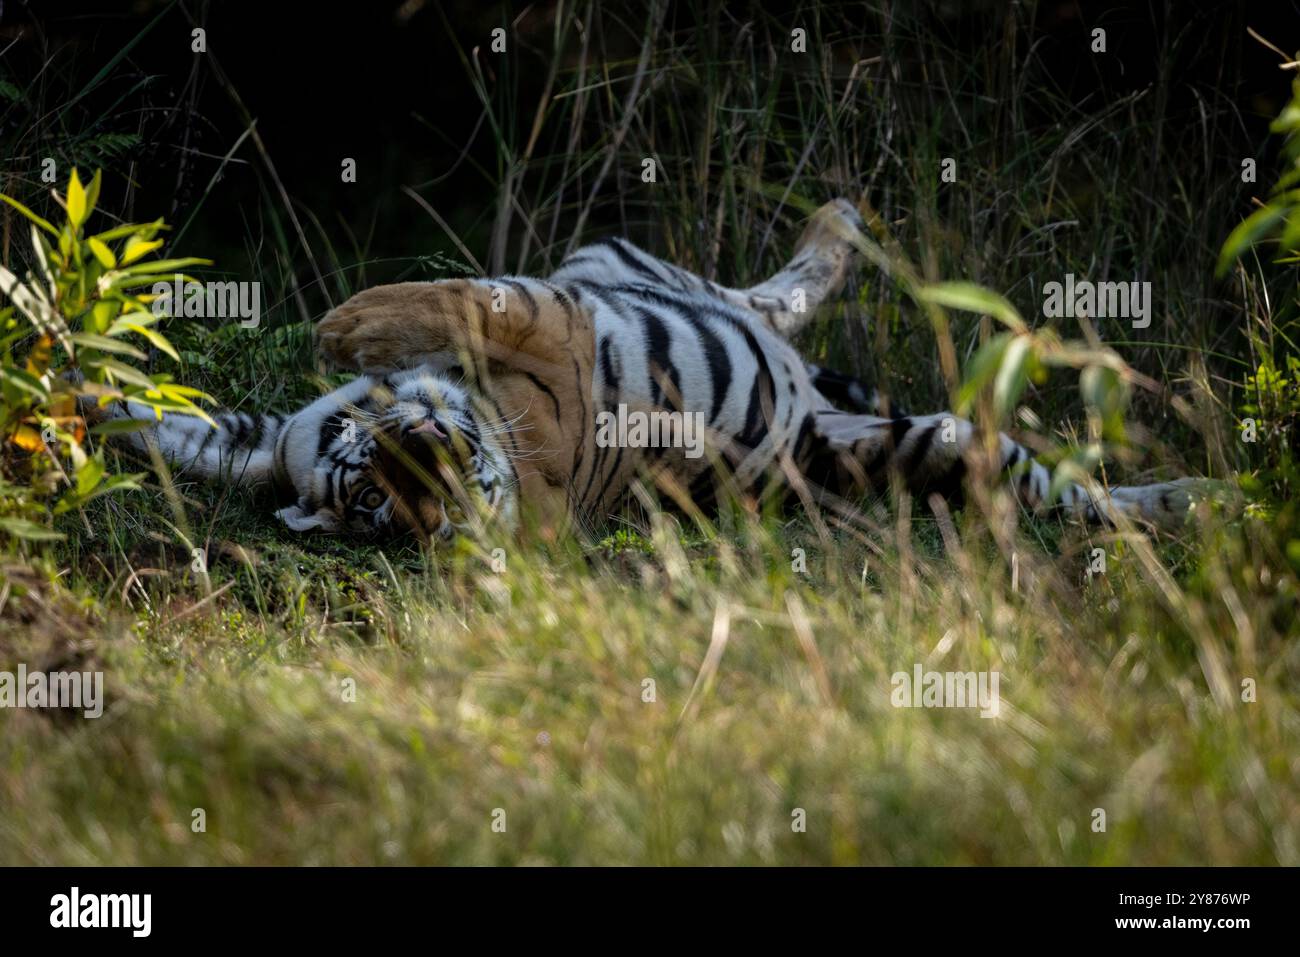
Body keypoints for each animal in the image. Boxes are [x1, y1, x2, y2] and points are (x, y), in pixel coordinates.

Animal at [104, 197, 1206, 540]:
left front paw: (345, 330)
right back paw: (1193, 500)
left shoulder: (549, 311)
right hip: (925, 447)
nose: (431, 471)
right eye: (376, 507)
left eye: (364, 469)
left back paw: (840, 221)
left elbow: (455, 298)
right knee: (1068, 494)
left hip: (621, 261)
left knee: (764, 291)